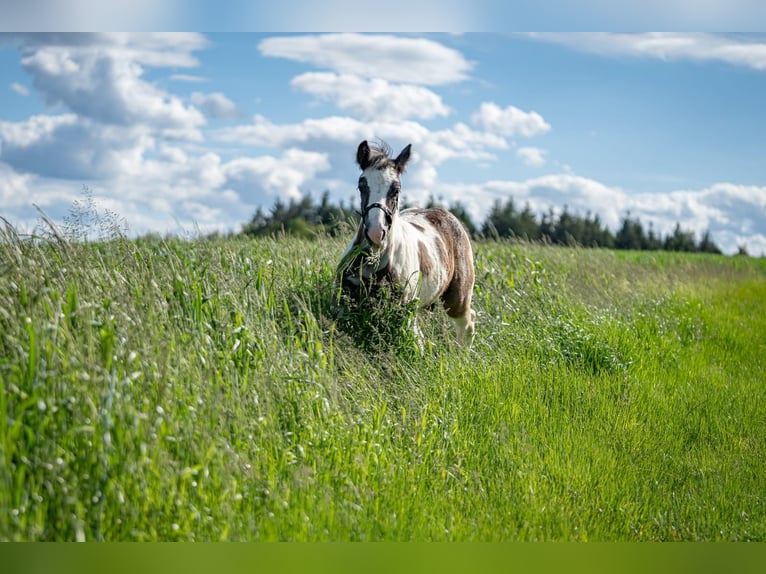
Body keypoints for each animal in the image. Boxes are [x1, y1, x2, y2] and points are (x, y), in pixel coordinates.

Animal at [338, 141, 476, 346]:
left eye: (396, 189)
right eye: (361, 185)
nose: (376, 232)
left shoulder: (404, 309)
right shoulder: (345, 301)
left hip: (457, 297)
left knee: (467, 324)